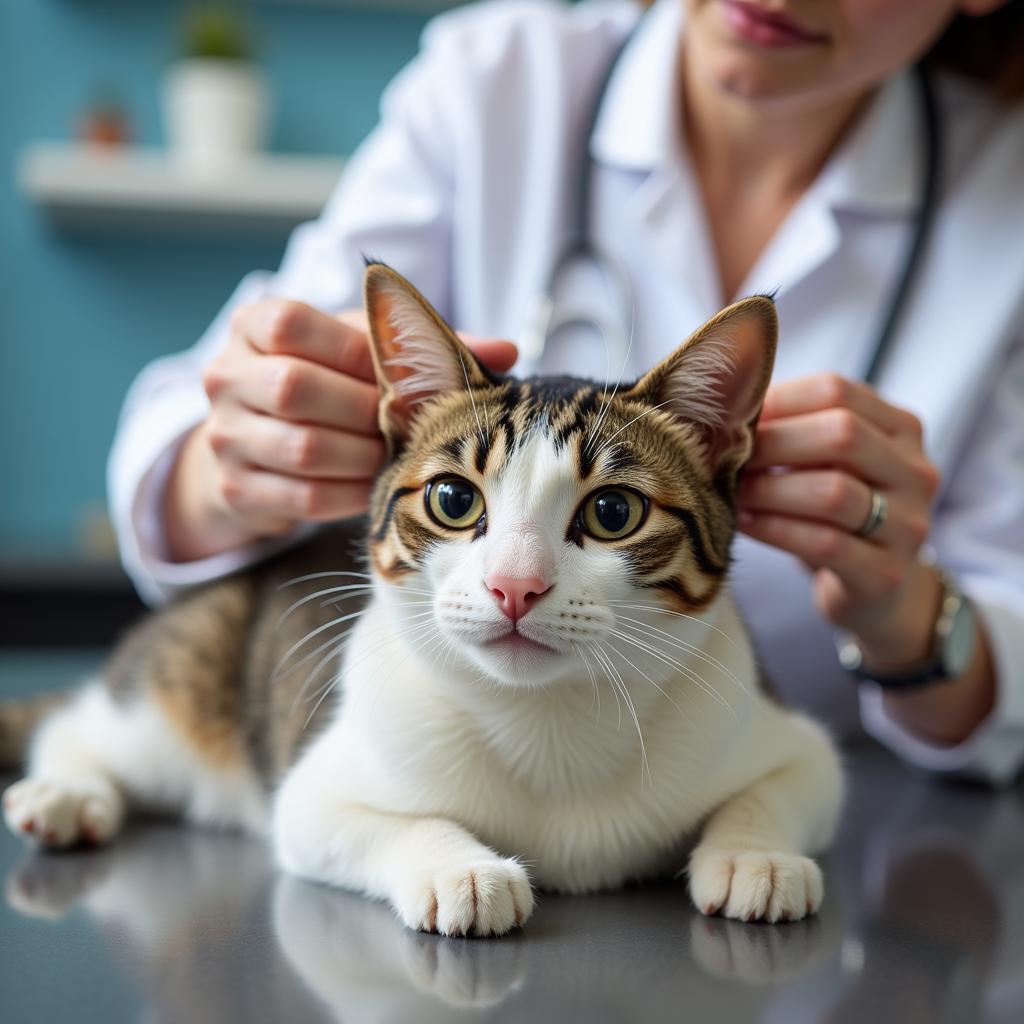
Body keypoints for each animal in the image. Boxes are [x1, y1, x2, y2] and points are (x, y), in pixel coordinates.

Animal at [4, 262, 843, 937]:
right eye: (452, 499)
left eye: (613, 512)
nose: (515, 584)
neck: (547, 720)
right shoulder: (313, 791)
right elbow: (366, 819)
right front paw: (457, 867)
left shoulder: (780, 732)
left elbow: (796, 780)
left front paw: (758, 855)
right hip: (186, 685)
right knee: (84, 727)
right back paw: (67, 790)